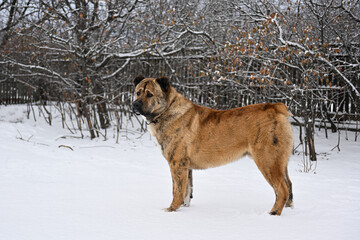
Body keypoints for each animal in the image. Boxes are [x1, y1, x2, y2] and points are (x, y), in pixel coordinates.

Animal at [134, 75, 294, 216]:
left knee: (282, 190)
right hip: (280, 163)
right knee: (289, 186)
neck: (167, 110)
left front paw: (171, 210)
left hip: (268, 161)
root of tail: (276, 107)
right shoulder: (186, 166)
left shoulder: (177, 163)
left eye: (149, 94)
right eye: (137, 92)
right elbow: (187, 190)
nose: (135, 104)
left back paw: (273, 213)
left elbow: (177, 190)